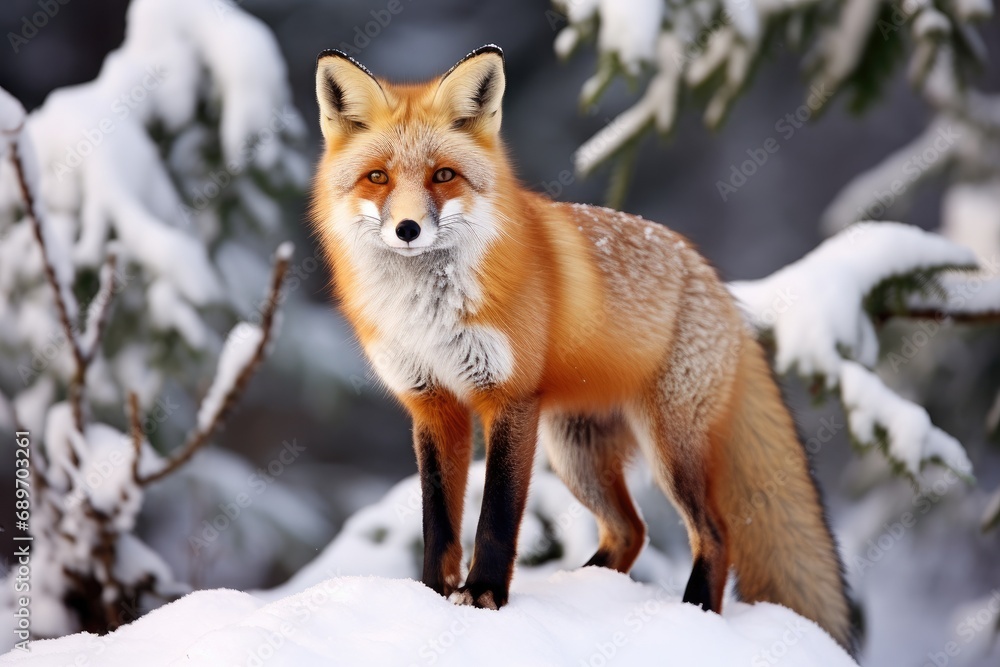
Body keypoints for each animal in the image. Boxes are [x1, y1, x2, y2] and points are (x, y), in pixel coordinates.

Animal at [310, 45, 854, 653]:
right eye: (377, 177)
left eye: (443, 175)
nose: (407, 229)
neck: (427, 312)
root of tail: (717, 284)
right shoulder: (431, 404)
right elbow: (439, 521)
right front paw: (431, 596)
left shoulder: (509, 397)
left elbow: (496, 515)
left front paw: (484, 598)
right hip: (577, 453)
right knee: (630, 532)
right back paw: (586, 588)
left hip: (667, 447)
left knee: (715, 533)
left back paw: (692, 614)